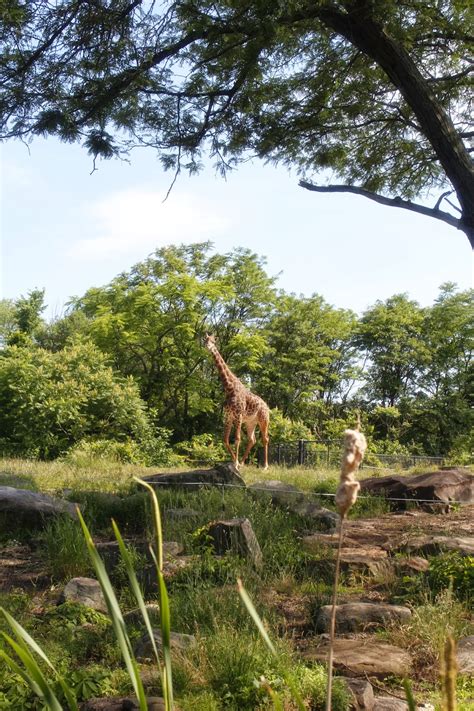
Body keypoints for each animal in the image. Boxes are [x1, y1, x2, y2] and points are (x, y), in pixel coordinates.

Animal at [205, 336, 268, 470]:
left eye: (213, 341)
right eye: (205, 340)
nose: (208, 347)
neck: (229, 388)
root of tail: (267, 406)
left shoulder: (238, 416)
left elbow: (237, 439)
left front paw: (235, 463)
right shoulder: (228, 416)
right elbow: (225, 439)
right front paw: (236, 462)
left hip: (264, 419)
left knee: (265, 439)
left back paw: (265, 466)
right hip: (251, 422)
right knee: (252, 439)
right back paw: (243, 463)